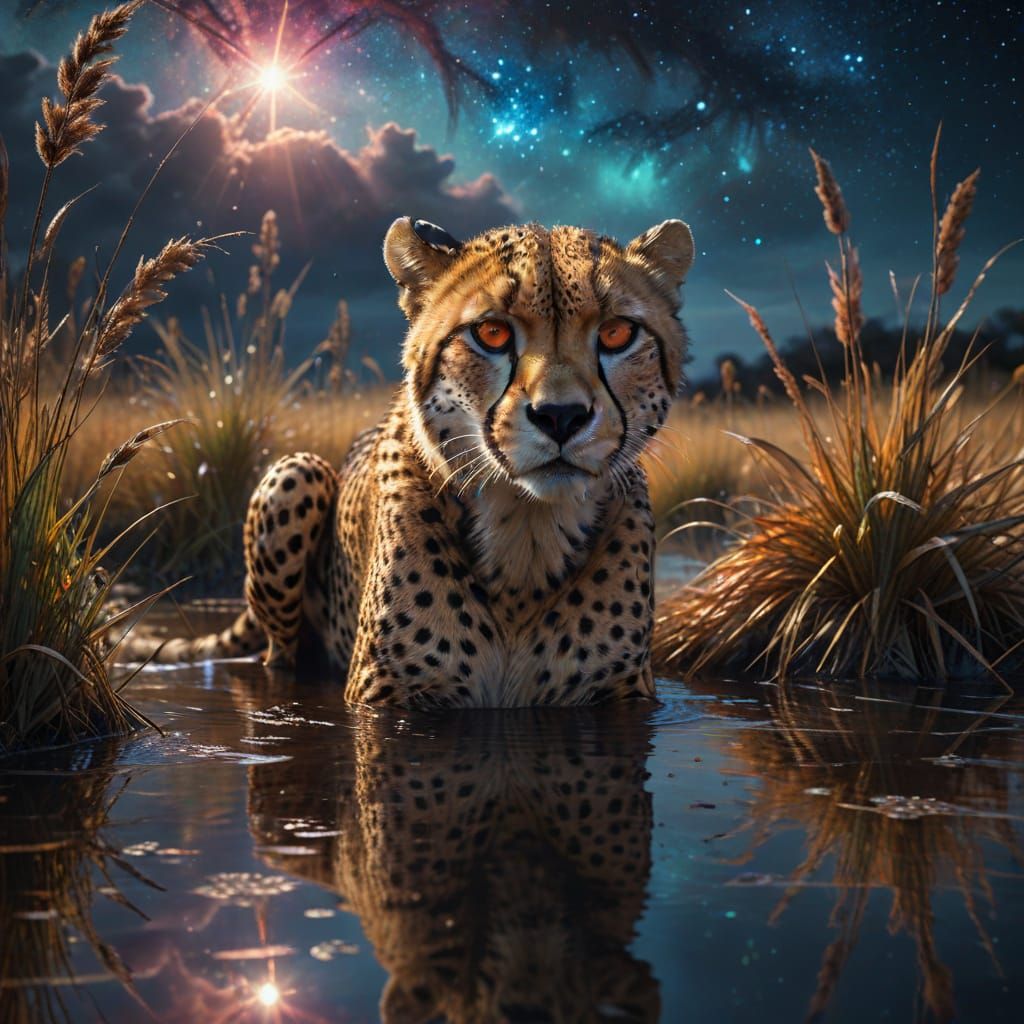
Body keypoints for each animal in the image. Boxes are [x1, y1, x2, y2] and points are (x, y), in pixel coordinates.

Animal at [136, 215, 695, 707]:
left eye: (618, 333)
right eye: (492, 333)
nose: (561, 416)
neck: (527, 537)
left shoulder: (625, 696)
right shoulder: (384, 695)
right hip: (293, 472)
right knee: (280, 656)